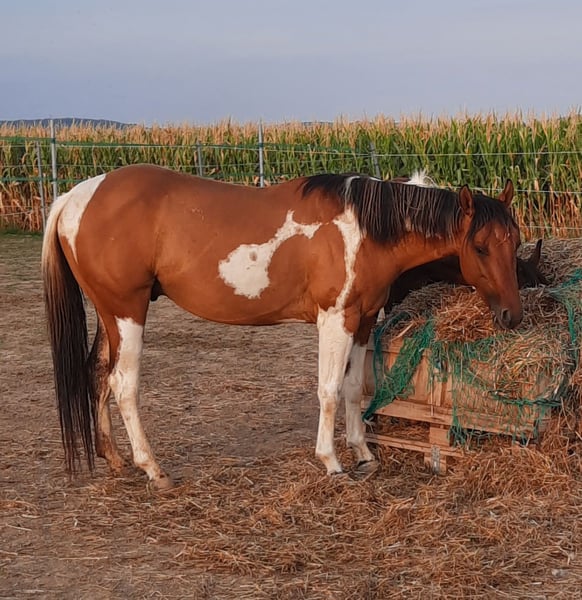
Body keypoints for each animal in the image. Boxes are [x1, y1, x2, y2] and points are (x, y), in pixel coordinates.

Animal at [42, 164, 522, 490]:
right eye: (481, 247)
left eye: (514, 240)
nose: (512, 316)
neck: (364, 229)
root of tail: (75, 197)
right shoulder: (335, 320)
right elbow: (329, 390)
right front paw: (331, 461)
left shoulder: (363, 319)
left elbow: (353, 389)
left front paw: (364, 453)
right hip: (127, 312)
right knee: (123, 385)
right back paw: (153, 469)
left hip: (111, 314)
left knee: (97, 375)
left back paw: (115, 459)